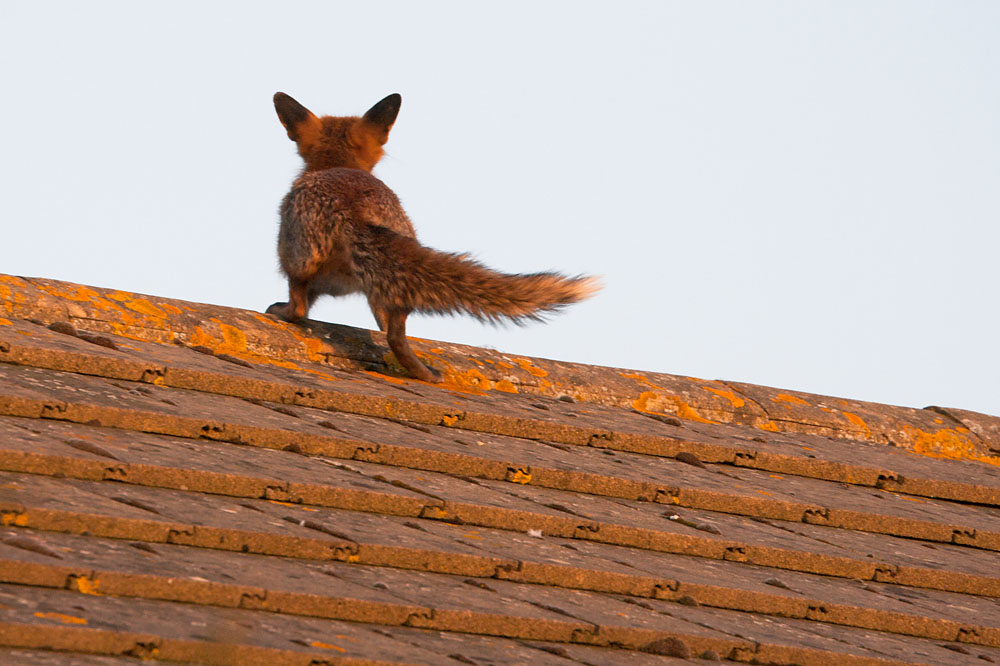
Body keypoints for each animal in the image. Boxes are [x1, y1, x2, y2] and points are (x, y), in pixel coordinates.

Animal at [267, 92, 600, 382]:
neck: (338, 165)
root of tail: (354, 209)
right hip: (392, 286)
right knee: (393, 333)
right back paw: (423, 373)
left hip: (298, 262)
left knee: (300, 308)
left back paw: (282, 312)